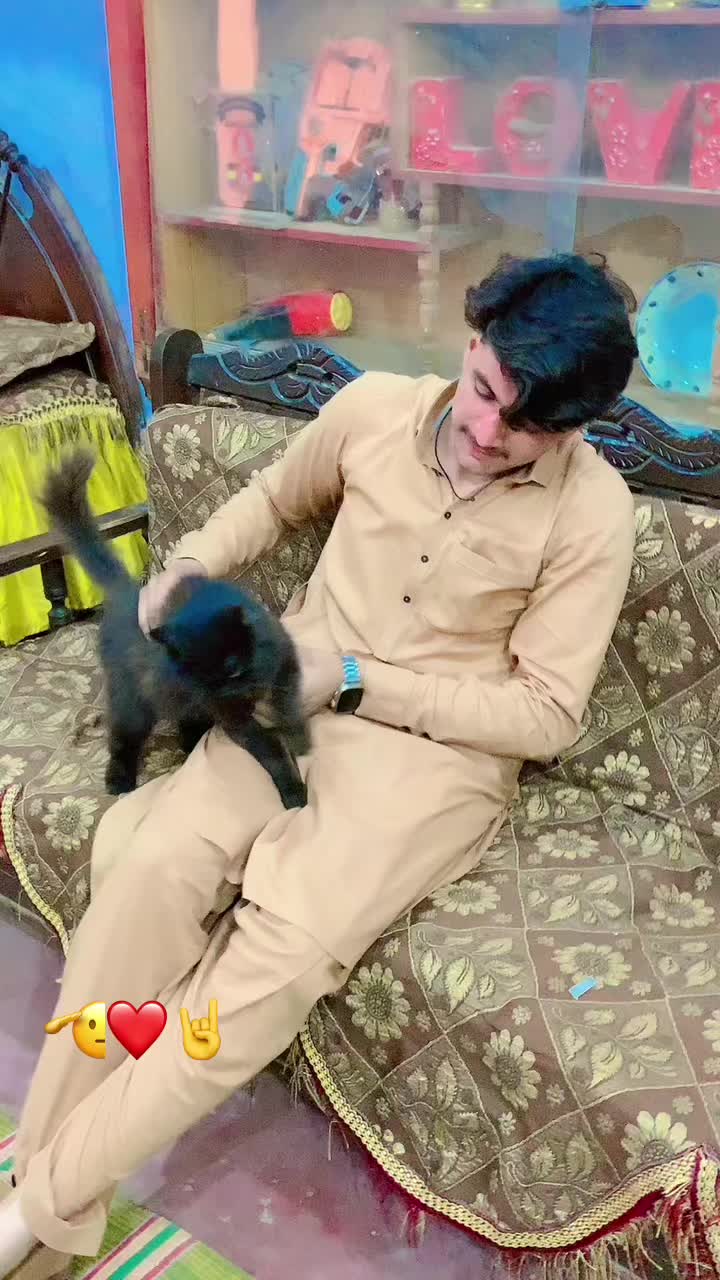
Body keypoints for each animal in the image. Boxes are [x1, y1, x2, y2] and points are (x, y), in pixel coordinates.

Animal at [40, 451, 309, 808]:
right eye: (205, 680)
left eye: (233, 670)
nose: (225, 695)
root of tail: (130, 594)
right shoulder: (232, 717)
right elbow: (269, 748)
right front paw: (293, 792)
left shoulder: (285, 659)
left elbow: (288, 702)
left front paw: (299, 737)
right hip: (132, 697)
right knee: (123, 737)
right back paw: (119, 779)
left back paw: (189, 743)